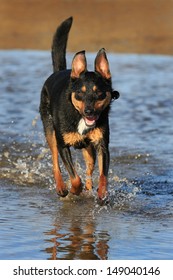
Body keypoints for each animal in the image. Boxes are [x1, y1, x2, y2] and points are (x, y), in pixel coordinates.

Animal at [39, 17, 119, 201]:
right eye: (80, 93)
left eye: (99, 93)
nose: (89, 112)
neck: (79, 117)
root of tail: (59, 71)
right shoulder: (63, 144)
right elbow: (74, 177)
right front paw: (74, 190)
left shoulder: (102, 144)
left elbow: (103, 174)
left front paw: (102, 193)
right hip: (50, 131)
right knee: (55, 162)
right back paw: (62, 188)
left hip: (89, 149)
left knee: (89, 170)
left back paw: (89, 189)